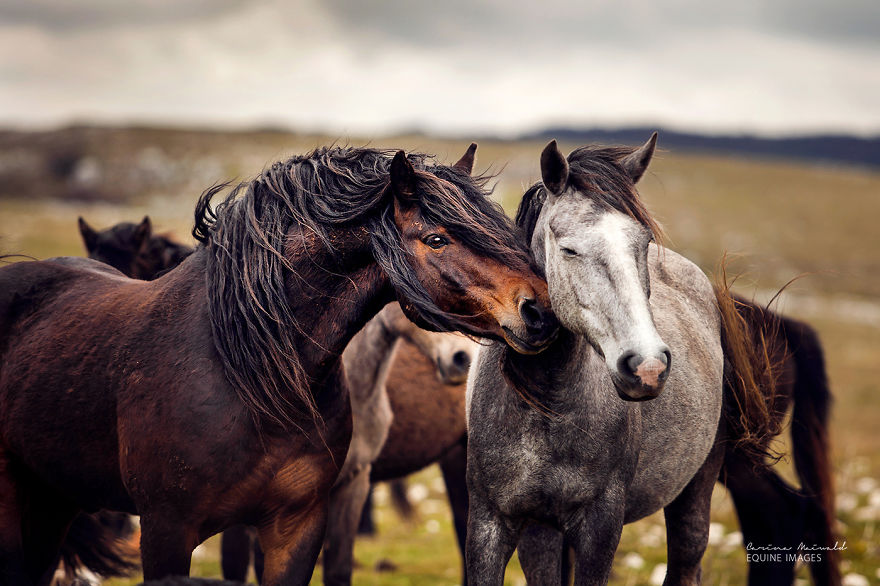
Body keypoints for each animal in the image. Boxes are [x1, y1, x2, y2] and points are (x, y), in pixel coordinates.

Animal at [465, 135, 783, 585]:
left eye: (643, 243)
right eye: (568, 249)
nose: (647, 367)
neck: (546, 405)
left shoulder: (600, 527)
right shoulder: (491, 523)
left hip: (695, 490)